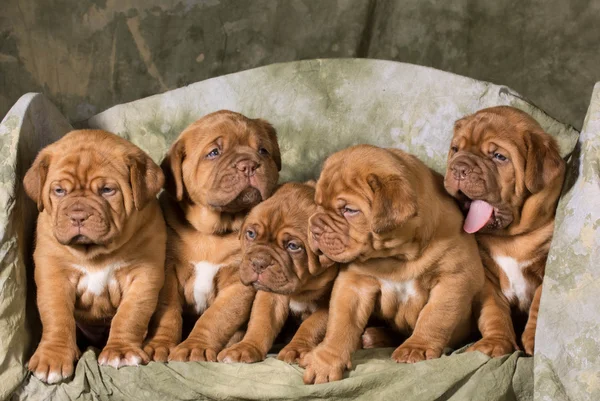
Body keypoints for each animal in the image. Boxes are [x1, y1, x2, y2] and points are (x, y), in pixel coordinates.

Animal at [23, 130, 165, 382]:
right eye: (59, 191)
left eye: (107, 190)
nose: (78, 216)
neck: (95, 252)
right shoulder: (53, 274)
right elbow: (57, 316)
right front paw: (52, 357)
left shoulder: (143, 274)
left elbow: (131, 314)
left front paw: (120, 352)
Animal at [144, 110, 282, 362]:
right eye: (214, 153)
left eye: (263, 150)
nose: (249, 165)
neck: (212, 233)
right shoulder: (168, 272)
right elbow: (167, 312)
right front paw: (160, 344)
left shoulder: (238, 281)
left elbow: (216, 318)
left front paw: (194, 347)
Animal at [216, 183, 340, 364]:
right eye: (251, 234)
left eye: (293, 246)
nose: (259, 262)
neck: (303, 286)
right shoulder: (270, 294)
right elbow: (262, 321)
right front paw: (246, 347)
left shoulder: (330, 301)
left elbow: (312, 325)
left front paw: (296, 349)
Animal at [302, 145, 486, 382]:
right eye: (317, 204)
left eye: (349, 210)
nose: (314, 227)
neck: (398, 256)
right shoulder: (354, 284)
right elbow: (340, 323)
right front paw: (325, 361)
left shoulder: (453, 278)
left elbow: (435, 316)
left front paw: (417, 347)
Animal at [446, 106, 568, 356]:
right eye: (455, 149)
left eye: (499, 157)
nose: (459, 168)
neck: (511, 239)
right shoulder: (488, 280)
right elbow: (494, 312)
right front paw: (495, 342)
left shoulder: (544, 269)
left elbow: (539, 303)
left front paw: (532, 341)